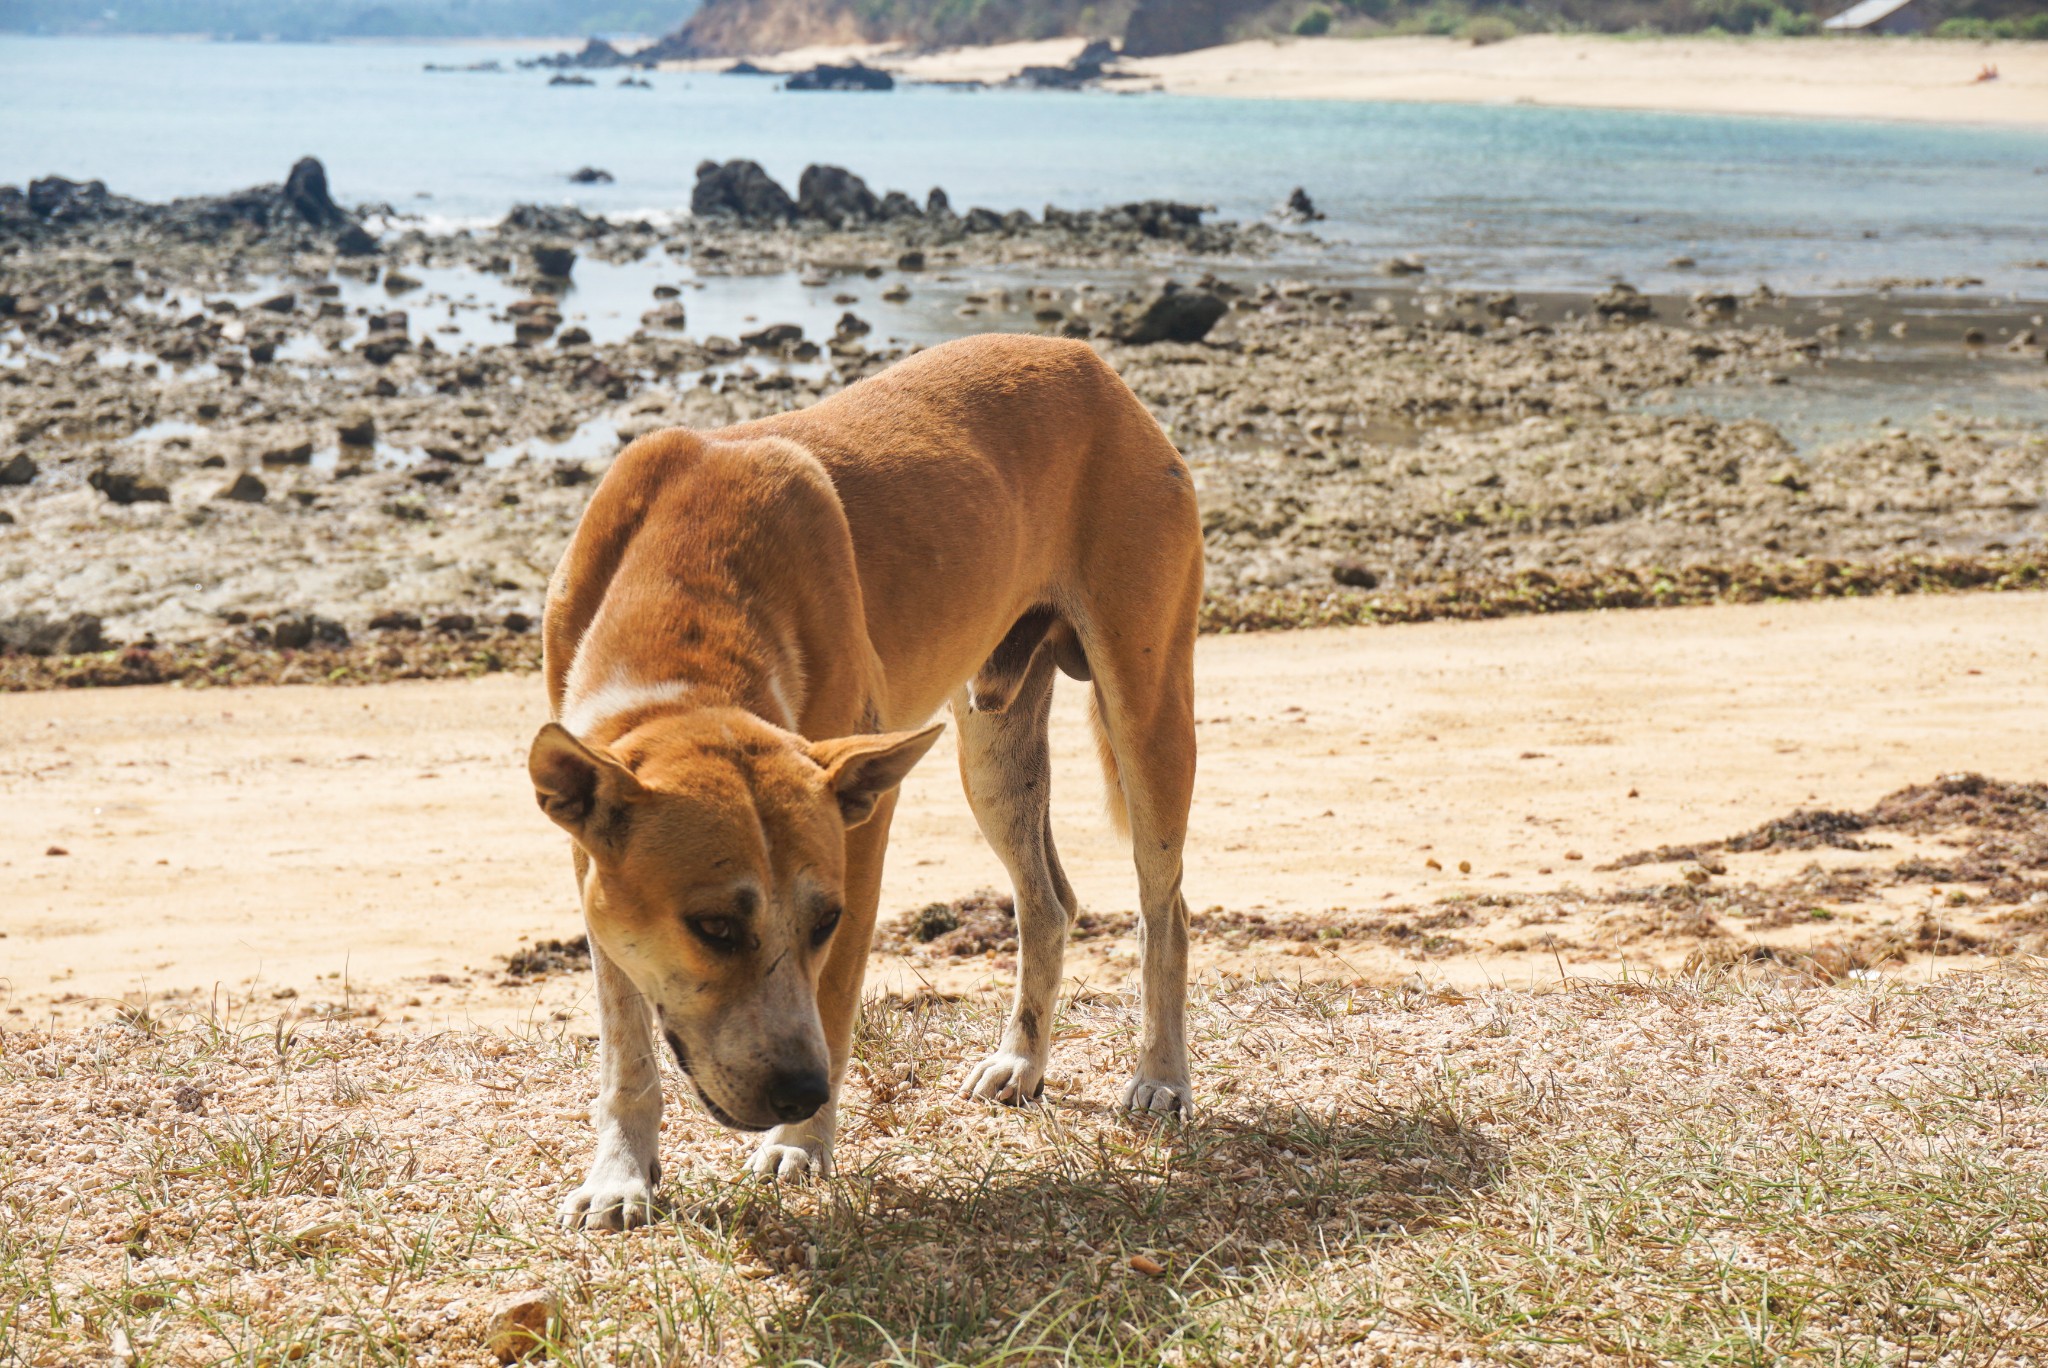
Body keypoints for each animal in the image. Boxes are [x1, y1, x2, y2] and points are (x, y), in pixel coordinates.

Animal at [532, 331, 1196, 1228]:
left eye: (824, 920)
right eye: (712, 927)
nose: (799, 1090)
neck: (684, 603)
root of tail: (1092, 363)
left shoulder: (860, 831)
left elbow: (836, 995)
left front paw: (800, 1145)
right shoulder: (590, 854)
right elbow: (625, 1048)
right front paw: (621, 1175)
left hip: (1147, 715)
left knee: (1166, 911)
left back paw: (1161, 1074)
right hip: (994, 755)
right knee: (1047, 903)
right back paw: (1021, 1059)